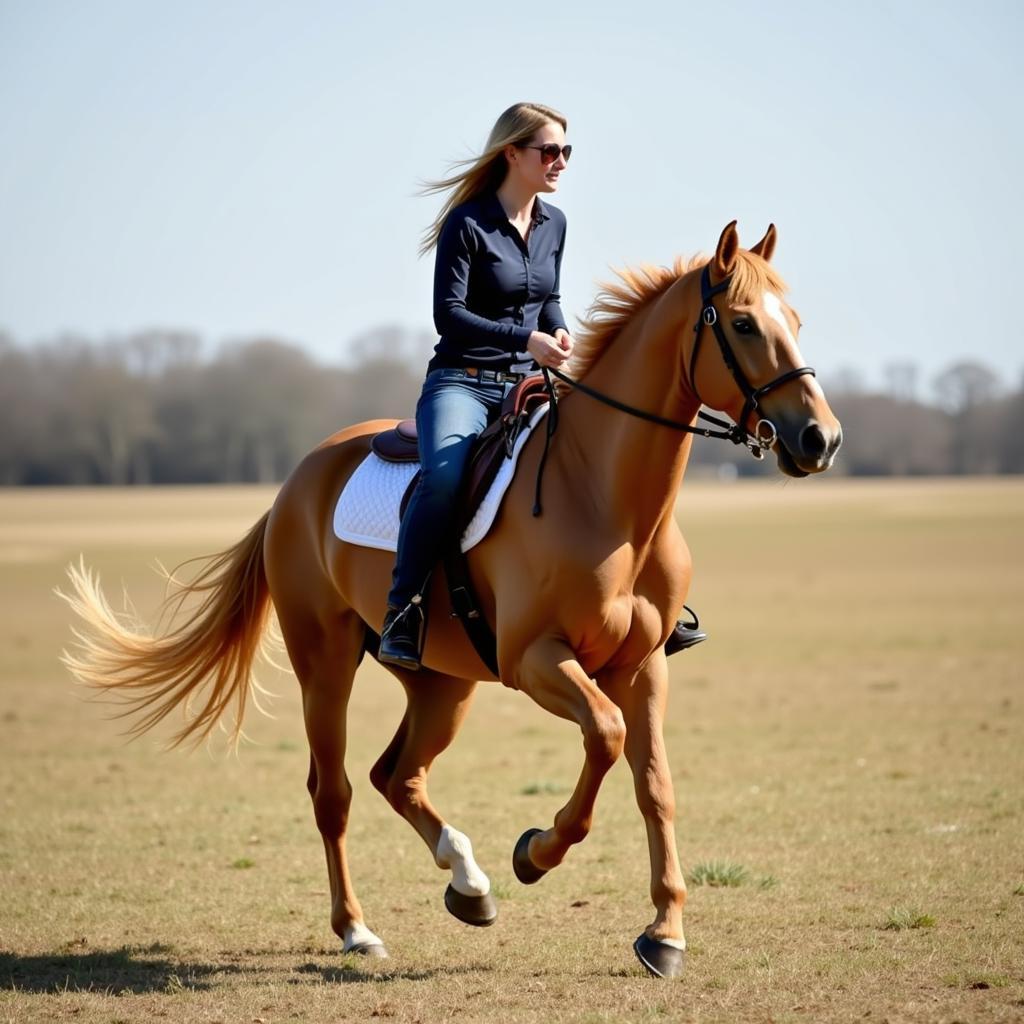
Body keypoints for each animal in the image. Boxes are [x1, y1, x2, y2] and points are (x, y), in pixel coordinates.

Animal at [61, 220, 839, 978]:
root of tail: (297, 482)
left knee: (397, 775)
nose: (820, 438)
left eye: (797, 319)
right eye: (743, 324)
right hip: (326, 665)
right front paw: (536, 852)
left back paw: (468, 883)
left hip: (442, 682)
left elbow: (654, 784)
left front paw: (665, 932)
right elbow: (606, 735)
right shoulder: (535, 661)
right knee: (333, 793)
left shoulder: (644, 666)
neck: (605, 499)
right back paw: (358, 930)